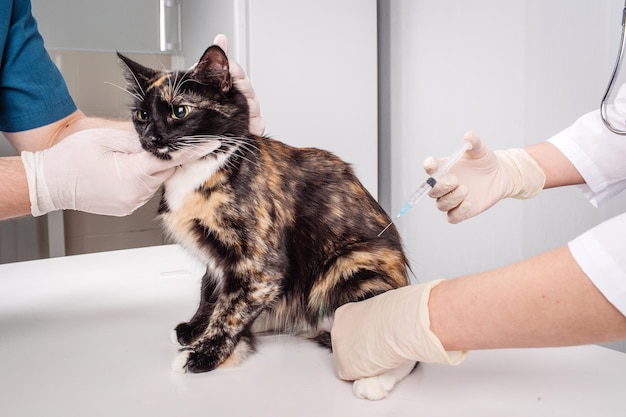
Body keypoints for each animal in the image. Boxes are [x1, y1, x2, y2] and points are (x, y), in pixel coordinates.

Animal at [119, 45, 416, 400]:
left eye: (180, 111)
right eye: (141, 115)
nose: (150, 138)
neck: (198, 171)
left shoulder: (260, 265)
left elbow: (230, 311)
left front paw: (202, 354)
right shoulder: (218, 261)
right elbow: (209, 291)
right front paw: (195, 329)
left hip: (347, 267)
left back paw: (375, 381)